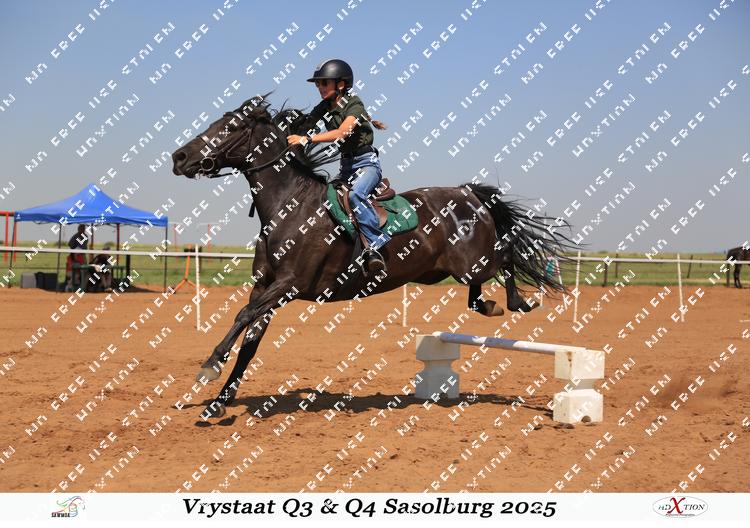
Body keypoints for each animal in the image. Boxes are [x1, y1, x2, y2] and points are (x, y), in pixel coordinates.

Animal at [171, 94, 574, 420]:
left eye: (230, 127)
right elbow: (249, 342)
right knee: (480, 287)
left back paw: (519, 302)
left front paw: (210, 364)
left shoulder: (288, 286)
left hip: (475, 260)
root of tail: (469, 193)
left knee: (507, 255)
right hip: (451, 269)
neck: (292, 207)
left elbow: (242, 316)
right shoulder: (266, 288)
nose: (179, 157)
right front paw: (218, 403)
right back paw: (490, 305)